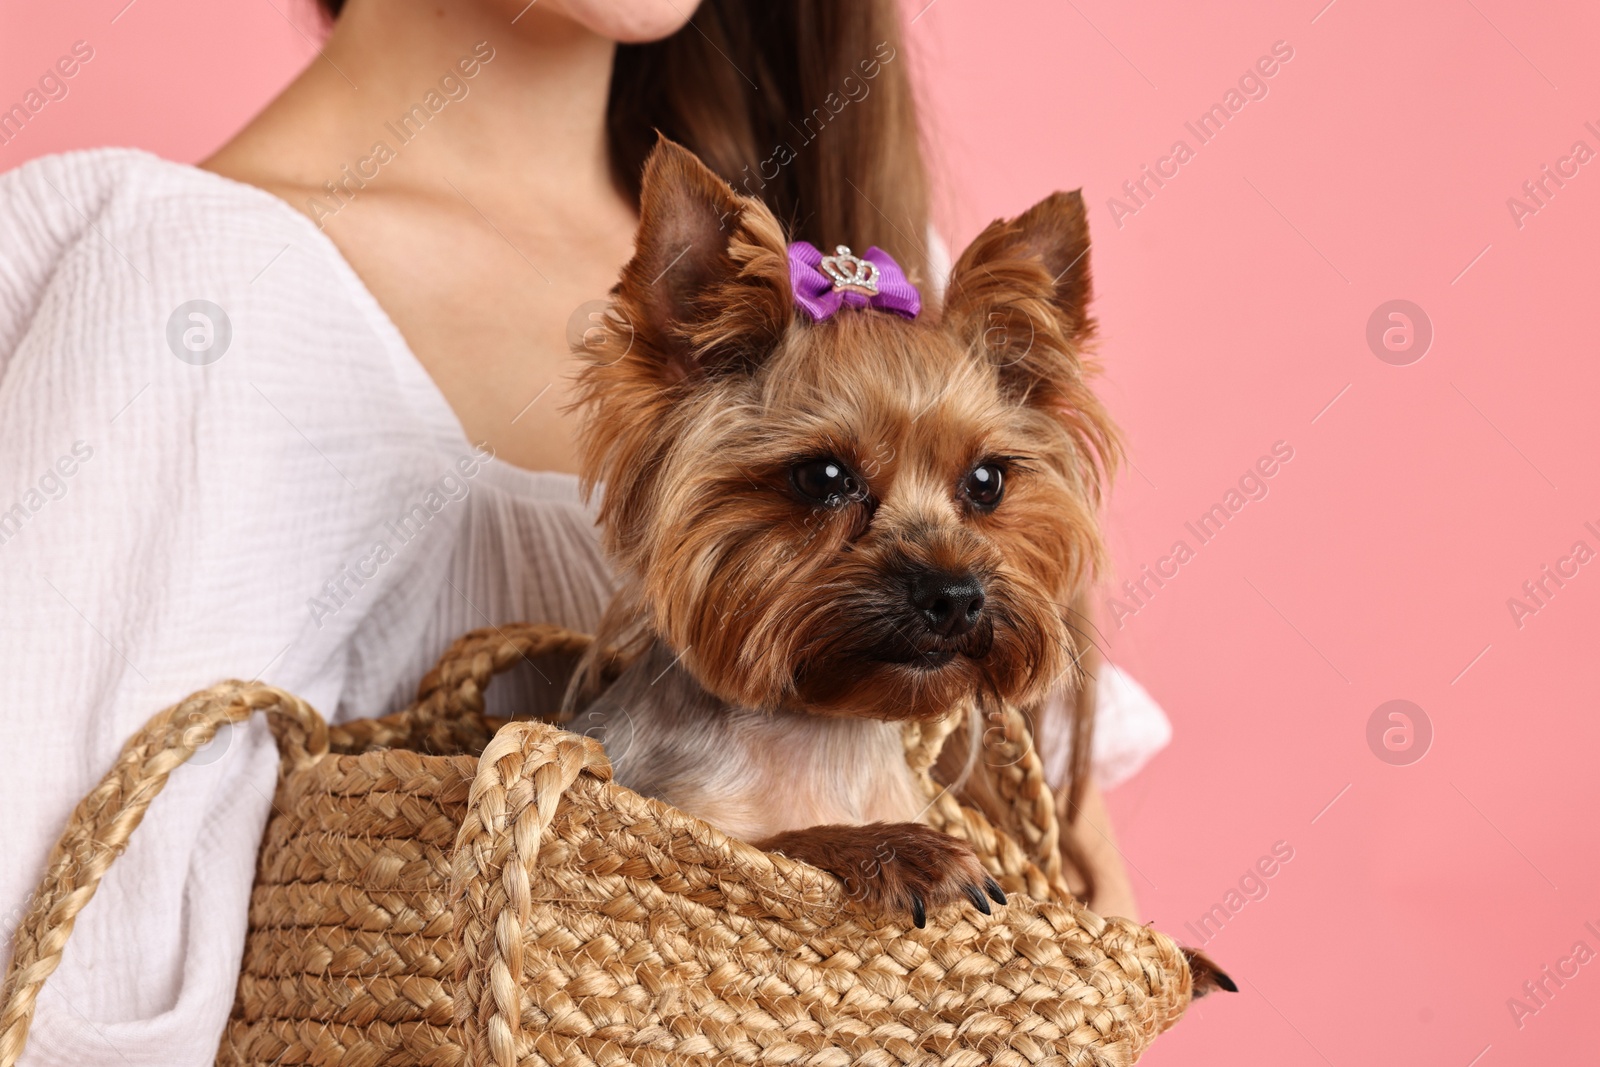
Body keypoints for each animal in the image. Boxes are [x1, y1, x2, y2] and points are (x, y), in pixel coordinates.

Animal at [569, 139, 1120, 934]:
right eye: (824, 476)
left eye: (986, 481)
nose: (955, 595)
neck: (825, 733)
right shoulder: (672, 817)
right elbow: (773, 844)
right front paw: (899, 849)